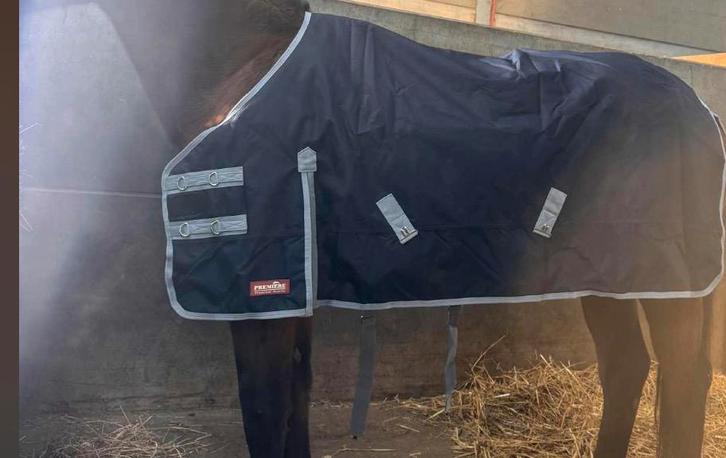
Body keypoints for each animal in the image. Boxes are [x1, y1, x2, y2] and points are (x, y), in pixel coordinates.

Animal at [98, 1, 717, 457]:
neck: (251, 63)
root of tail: (699, 107)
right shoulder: (292, 295)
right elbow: (294, 403)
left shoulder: (261, 299)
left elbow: (266, 413)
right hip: (609, 274)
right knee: (627, 367)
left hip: (670, 282)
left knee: (683, 382)